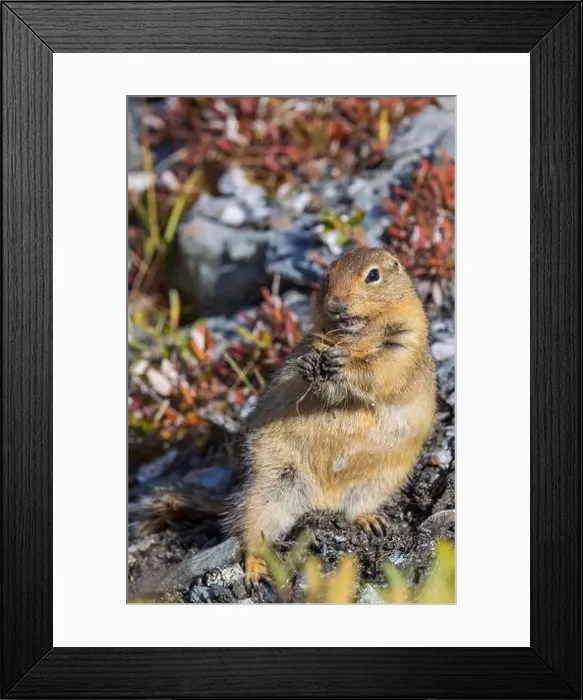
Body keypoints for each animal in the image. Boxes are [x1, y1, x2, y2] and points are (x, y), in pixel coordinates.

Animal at [136, 247, 436, 592]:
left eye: (372, 275)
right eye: (326, 276)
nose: (335, 305)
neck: (356, 332)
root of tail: (321, 500)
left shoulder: (404, 342)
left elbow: (379, 367)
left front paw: (341, 363)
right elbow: (306, 371)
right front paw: (312, 365)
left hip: (378, 482)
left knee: (352, 510)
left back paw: (370, 521)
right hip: (268, 489)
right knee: (248, 537)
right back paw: (255, 572)